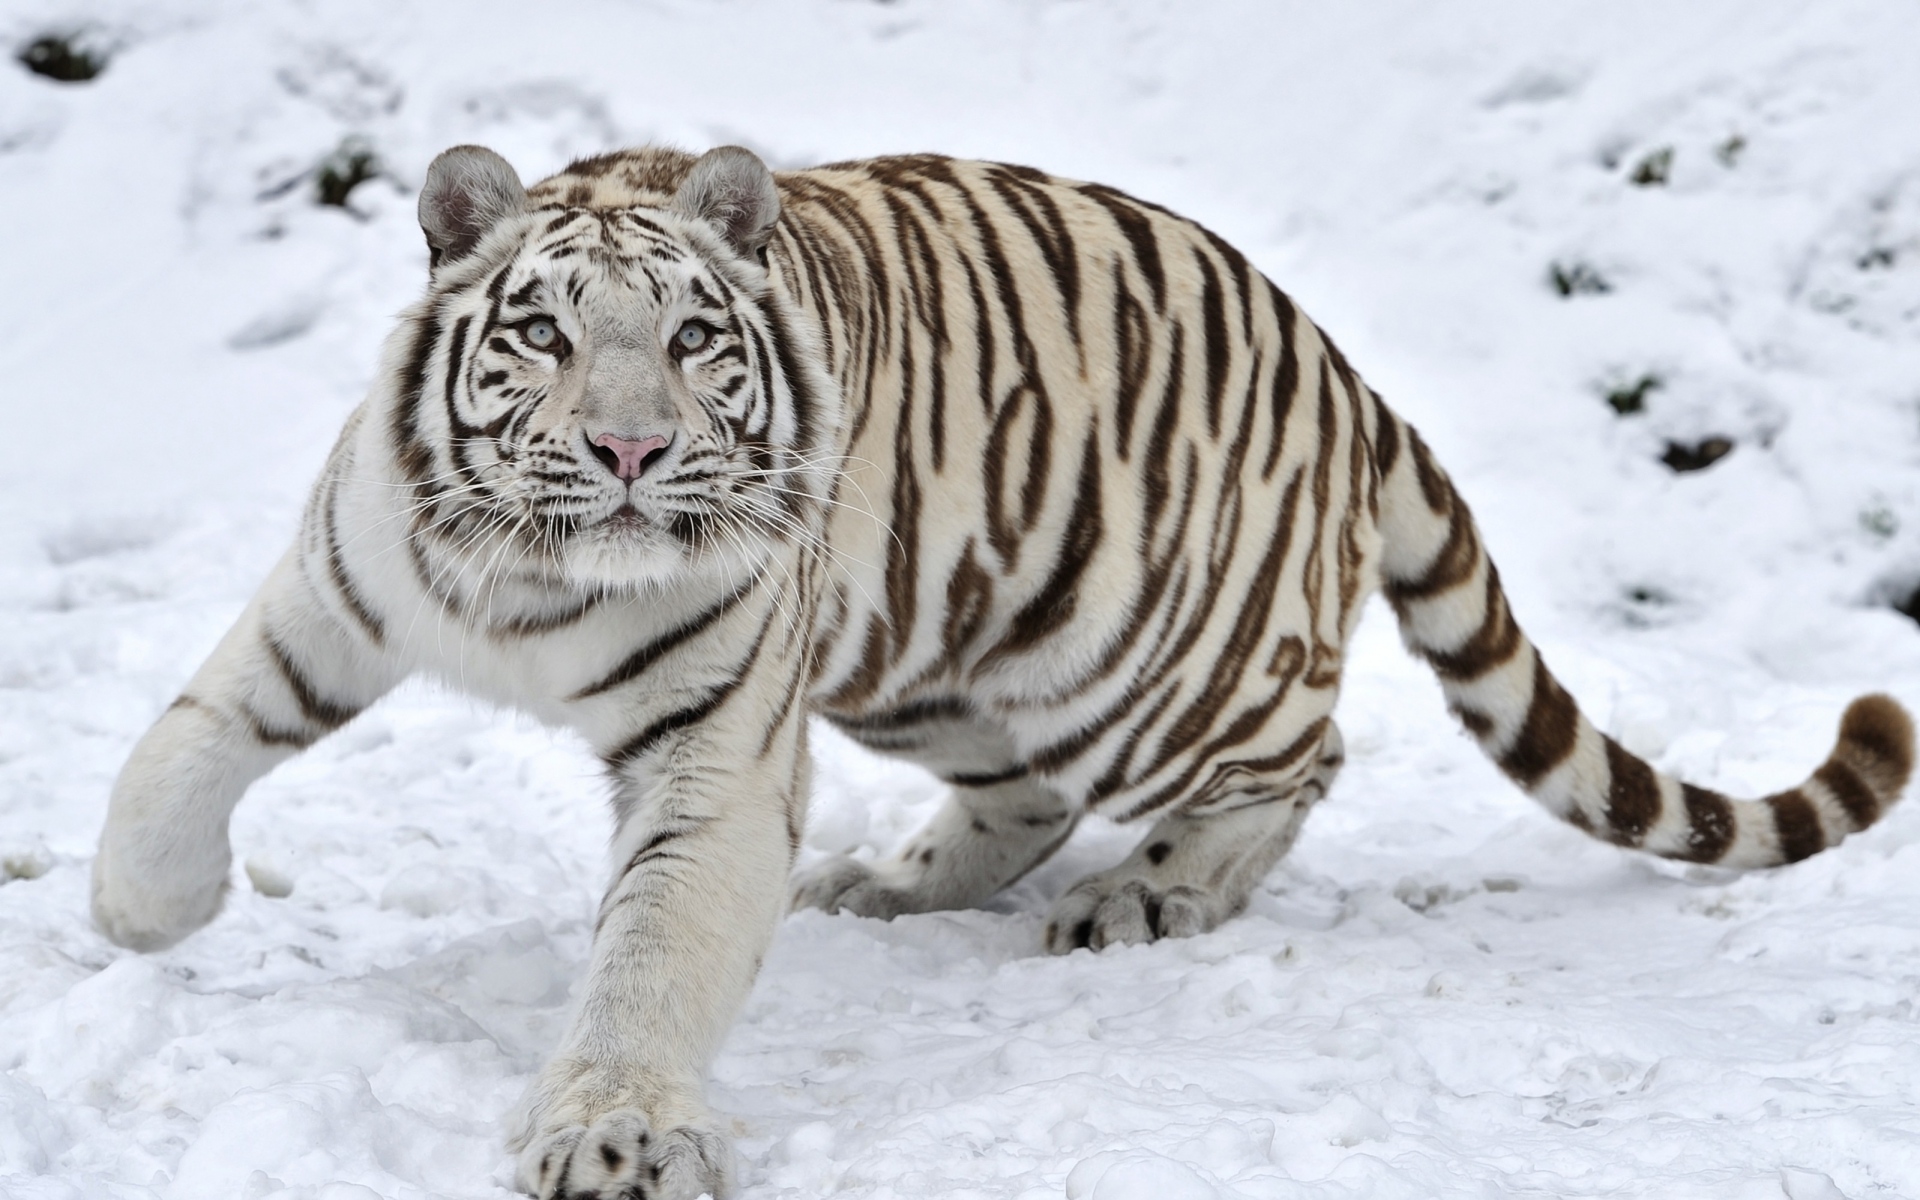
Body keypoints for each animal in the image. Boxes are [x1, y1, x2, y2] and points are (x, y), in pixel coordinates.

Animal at [90, 142, 1913, 1200]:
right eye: (540, 333)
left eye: (689, 339)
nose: (628, 450)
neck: (540, 578)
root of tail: (1343, 366)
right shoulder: (340, 591)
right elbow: (186, 737)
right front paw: (143, 912)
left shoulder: (714, 756)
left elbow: (646, 958)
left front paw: (613, 1135)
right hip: (942, 650)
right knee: (1024, 793)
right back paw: (891, 886)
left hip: (1152, 655)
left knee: (1300, 756)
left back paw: (1147, 895)